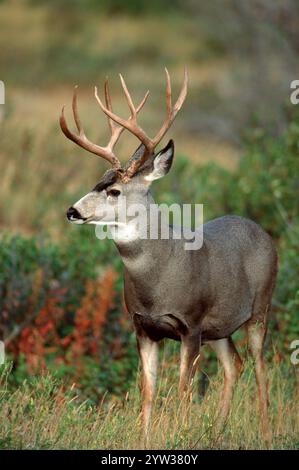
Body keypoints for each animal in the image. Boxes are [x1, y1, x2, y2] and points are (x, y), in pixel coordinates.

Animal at [60, 69, 278, 444]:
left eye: (114, 190)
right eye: (96, 181)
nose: (72, 211)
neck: (158, 281)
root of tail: (262, 231)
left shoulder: (189, 324)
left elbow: (183, 389)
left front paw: (183, 433)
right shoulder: (143, 327)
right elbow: (148, 390)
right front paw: (145, 439)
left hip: (259, 308)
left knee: (260, 368)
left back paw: (264, 436)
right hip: (219, 327)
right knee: (234, 365)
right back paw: (217, 434)